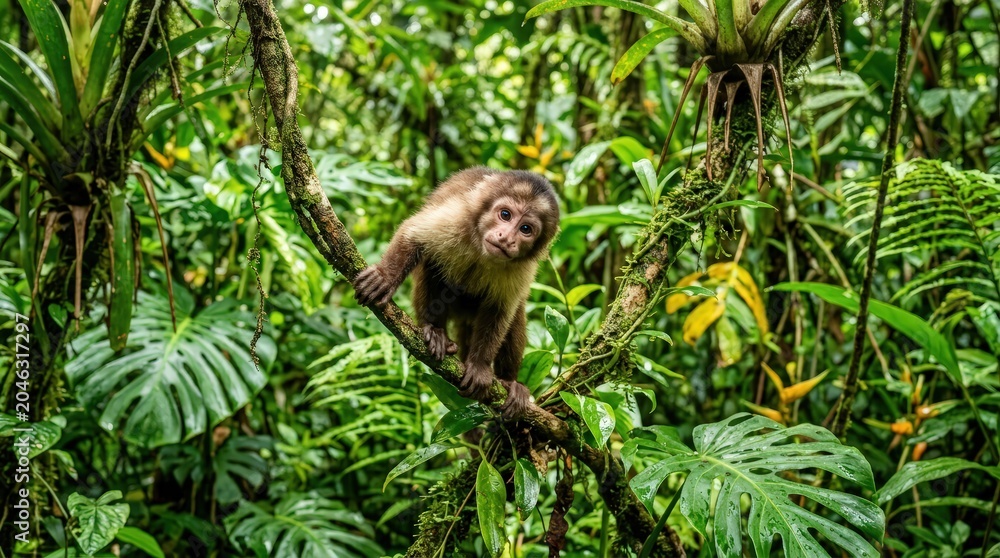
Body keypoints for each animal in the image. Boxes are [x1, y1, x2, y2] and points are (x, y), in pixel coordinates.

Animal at [353, 167, 560, 419]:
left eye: (526, 229)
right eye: (505, 214)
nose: (507, 238)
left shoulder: (522, 268)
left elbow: (500, 310)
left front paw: (480, 366)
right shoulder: (458, 218)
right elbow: (412, 234)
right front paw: (385, 276)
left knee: (515, 313)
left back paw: (510, 384)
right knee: (433, 264)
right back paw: (436, 332)